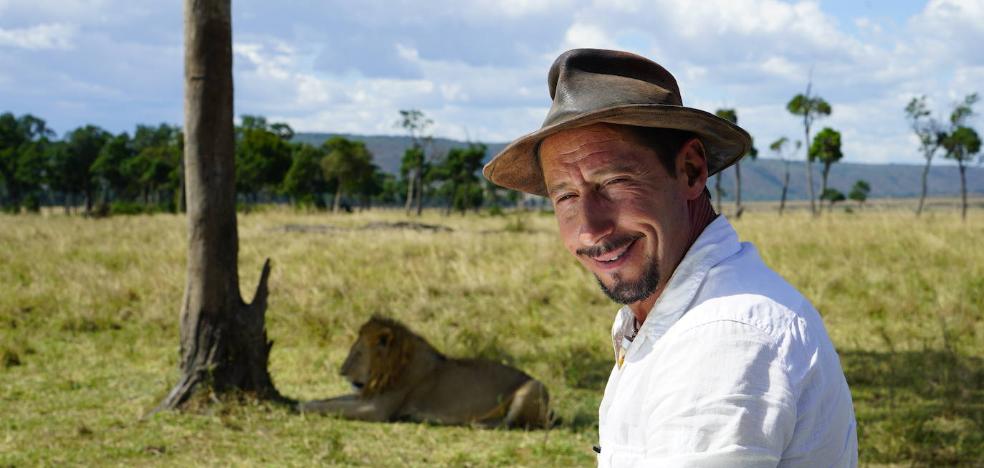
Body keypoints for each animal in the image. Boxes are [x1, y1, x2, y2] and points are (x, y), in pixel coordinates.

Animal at [296, 316, 548, 430]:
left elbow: (335, 407)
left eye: (357, 354)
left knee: (513, 423)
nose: (341, 372)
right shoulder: (367, 396)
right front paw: (304, 401)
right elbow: (332, 400)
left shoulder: (376, 409)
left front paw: (301, 406)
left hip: (533, 387)